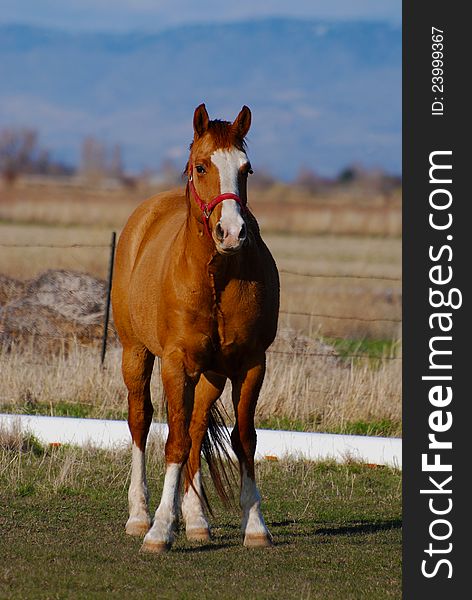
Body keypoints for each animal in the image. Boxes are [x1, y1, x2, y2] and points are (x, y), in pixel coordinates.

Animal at [112, 104, 278, 552]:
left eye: (246, 169)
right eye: (201, 166)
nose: (232, 232)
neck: (216, 276)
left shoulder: (250, 365)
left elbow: (244, 438)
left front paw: (255, 525)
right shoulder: (176, 364)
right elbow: (175, 440)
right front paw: (158, 530)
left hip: (212, 375)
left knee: (198, 424)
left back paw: (196, 519)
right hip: (135, 353)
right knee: (141, 421)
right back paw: (139, 515)